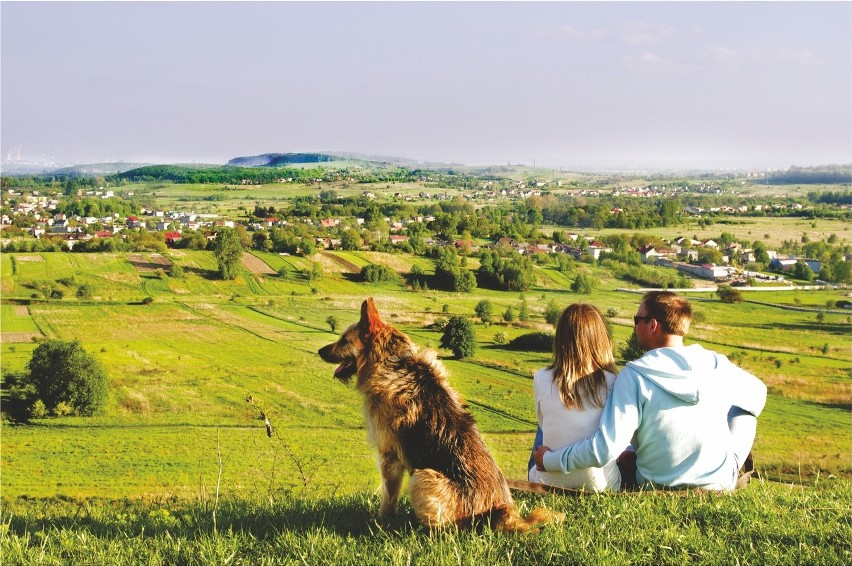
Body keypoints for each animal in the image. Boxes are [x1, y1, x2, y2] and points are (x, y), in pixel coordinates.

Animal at [316, 302, 564, 532]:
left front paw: (382, 522)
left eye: (344, 340)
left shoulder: (389, 456)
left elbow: (388, 497)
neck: (394, 362)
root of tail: (503, 513)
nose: (319, 351)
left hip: (423, 477)